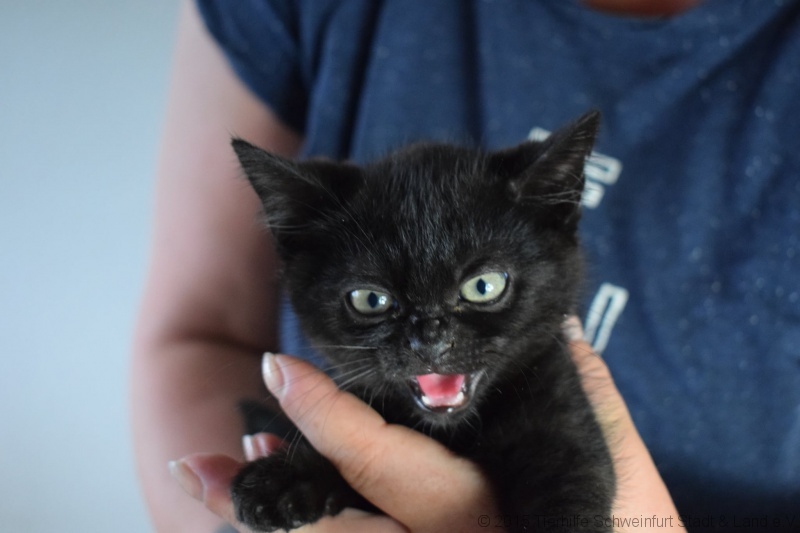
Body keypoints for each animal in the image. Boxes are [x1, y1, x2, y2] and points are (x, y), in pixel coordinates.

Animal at [229, 110, 615, 532]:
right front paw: (285, 477)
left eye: (483, 286)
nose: (429, 339)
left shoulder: (563, 425)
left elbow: (572, 491)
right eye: (371, 300)